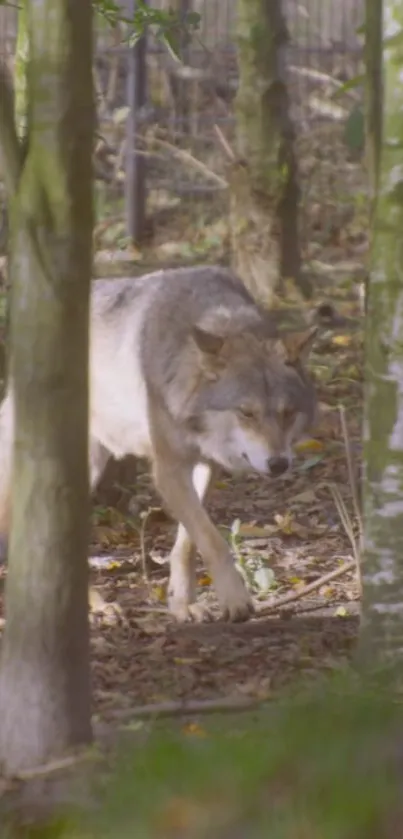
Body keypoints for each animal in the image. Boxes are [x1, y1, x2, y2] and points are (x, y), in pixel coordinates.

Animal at [0, 266, 318, 620]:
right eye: (246, 412)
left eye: (287, 413)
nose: (279, 464)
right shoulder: (167, 471)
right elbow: (212, 540)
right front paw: (235, 599)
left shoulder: (205, 465)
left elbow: (188, 543)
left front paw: (183, 603)